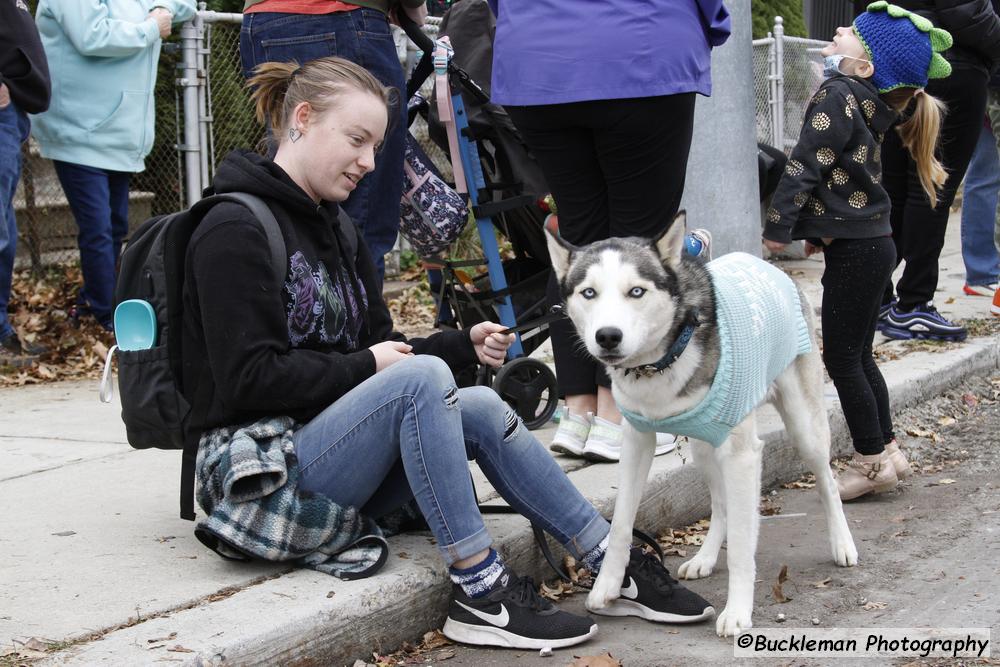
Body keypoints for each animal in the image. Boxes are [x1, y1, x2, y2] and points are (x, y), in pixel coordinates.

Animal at [544, 215, 856, 636]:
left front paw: (738, 611)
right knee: (721, 505)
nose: (607, 336)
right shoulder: (636, 442)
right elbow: (623, 521)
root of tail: (768, 265)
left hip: (802, 428)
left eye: (636, 291)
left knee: (825, 481)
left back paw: (842, 543)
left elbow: (741, 543)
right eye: (589, 292)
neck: (661, 361)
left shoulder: (743, 455)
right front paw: (608, 584)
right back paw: (705, 557)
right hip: (704, 447)